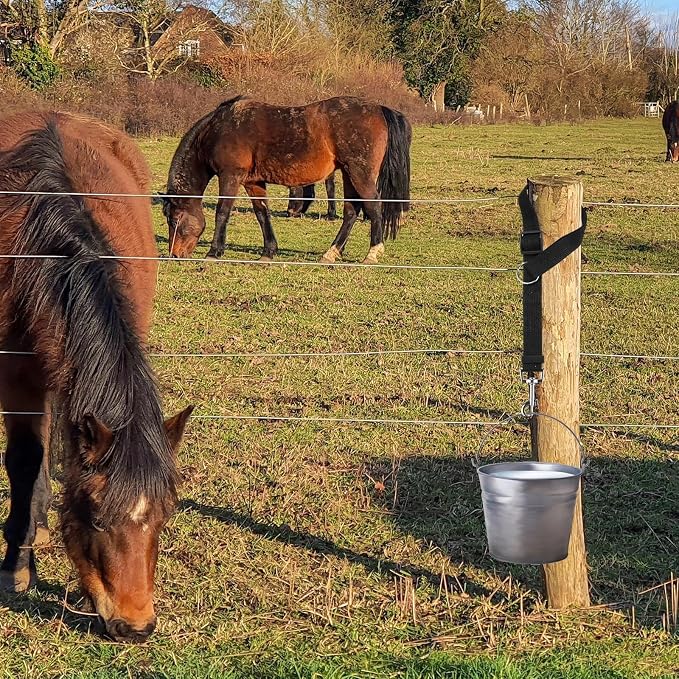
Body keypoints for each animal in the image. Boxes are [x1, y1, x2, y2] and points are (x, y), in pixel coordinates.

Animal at [0, 111, 193, 643]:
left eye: (164, 517)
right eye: (97, 519)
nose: (135, 626)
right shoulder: (17, 378)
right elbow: (24, 461)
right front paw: (17, 565)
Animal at [162, 96, 411, 264]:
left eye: (174, 220)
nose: (175, 254)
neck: (219, 128)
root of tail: (379, 108)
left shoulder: (230, 176)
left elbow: (222, 212)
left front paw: (214, 252)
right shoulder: (253, 182)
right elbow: (262, 213)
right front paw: (268, 252)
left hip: (360, 174)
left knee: (374, 206)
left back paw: (373, 252)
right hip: (349, 174)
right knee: (351, 211)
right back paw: (331, 253)